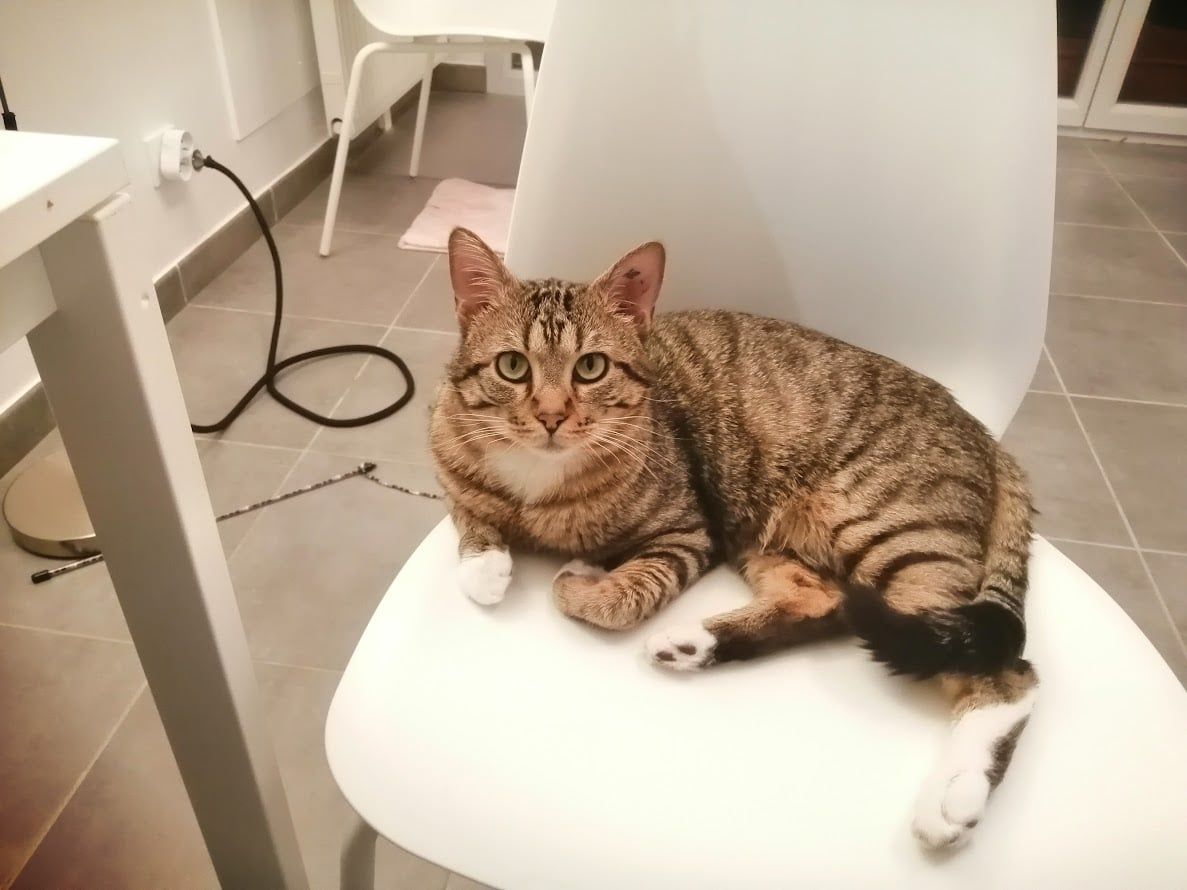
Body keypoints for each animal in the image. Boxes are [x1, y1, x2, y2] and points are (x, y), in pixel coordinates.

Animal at [429, 227, 1037, 850]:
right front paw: (485, 564)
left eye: (591, 367)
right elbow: (466, 513)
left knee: (1008, 672)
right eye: (512, 366)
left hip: (891, 532)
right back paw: (693, 644)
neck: (537, 483)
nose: (551, 417)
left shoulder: (689, 531)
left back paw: (956, 792)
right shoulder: (447, 456)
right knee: (823, 600)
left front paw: (584, 577)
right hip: (764, 535)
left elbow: (615, 601)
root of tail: (989, 439)